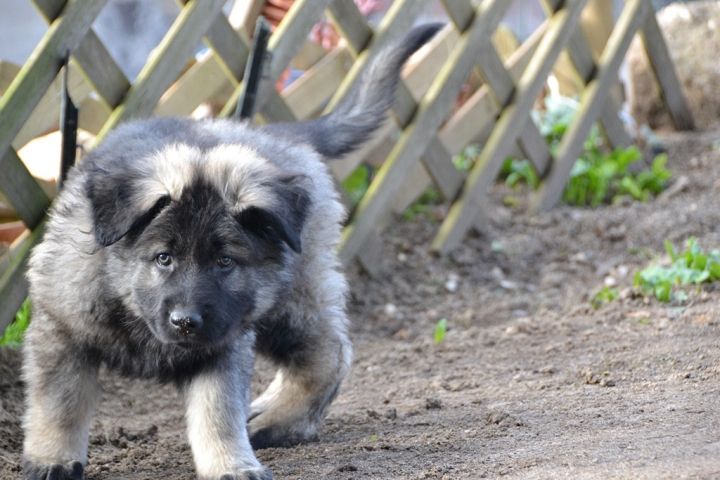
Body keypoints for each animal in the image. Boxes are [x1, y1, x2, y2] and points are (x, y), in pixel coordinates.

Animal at [21, 24, 440, 480]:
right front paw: (54, 458)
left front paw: (231, 464)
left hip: (287, 299)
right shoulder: (64, 332)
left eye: (225, 262)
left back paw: (278, 420)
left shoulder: (223, 342)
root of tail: (277, 135)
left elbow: (217, 412)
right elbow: (61, 404)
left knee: (330, 353)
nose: (186, 322)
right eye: (163, 257)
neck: (127, 300)